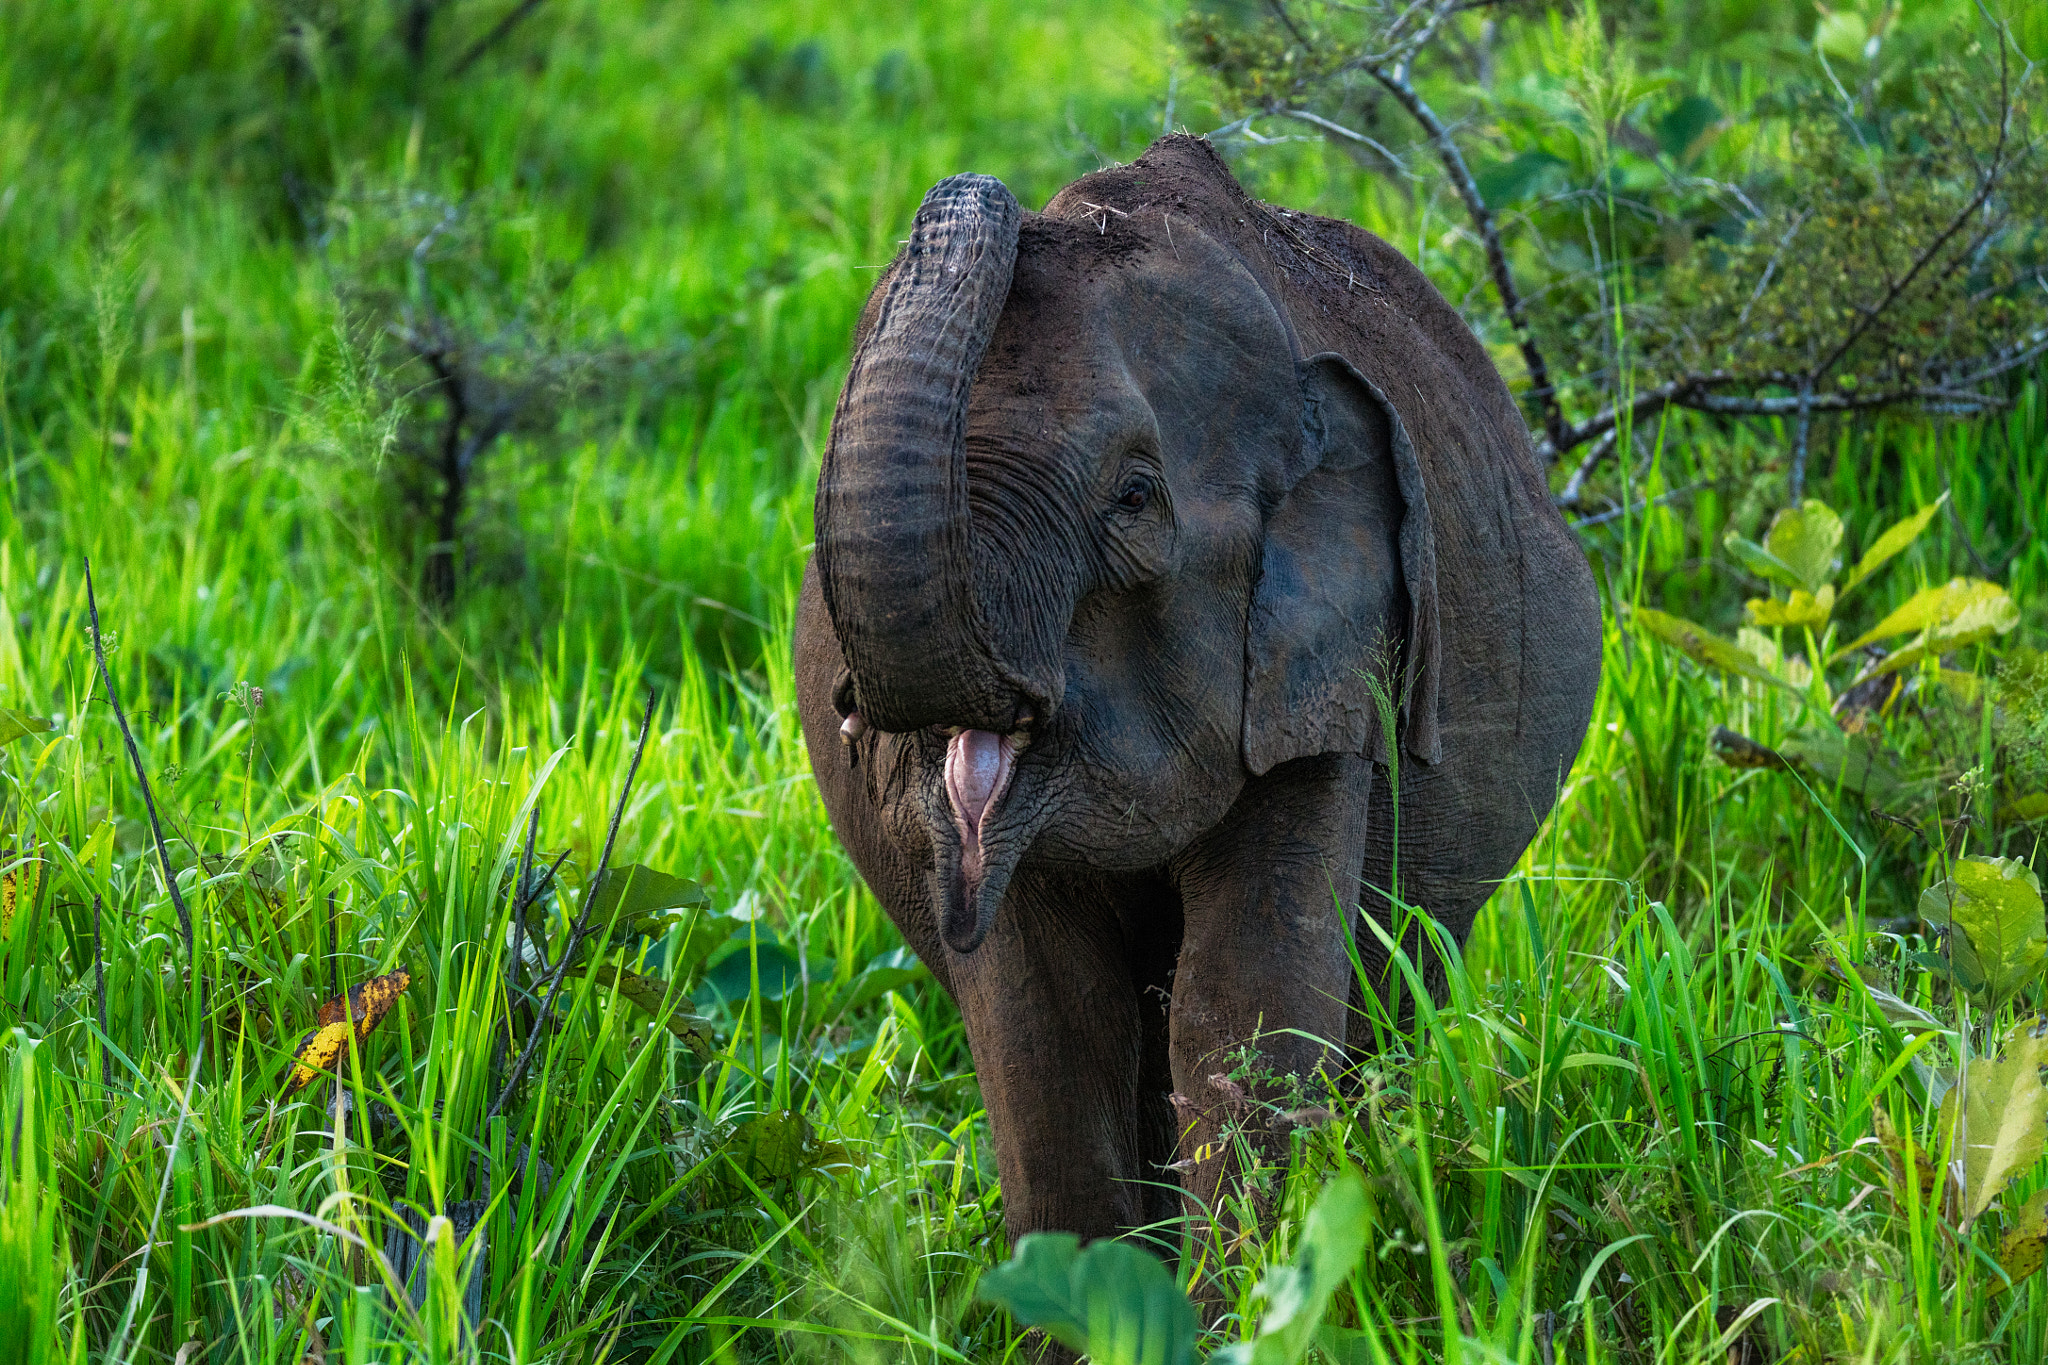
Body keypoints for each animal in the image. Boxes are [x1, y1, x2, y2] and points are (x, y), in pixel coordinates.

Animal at [793, 135, 1600, 1255]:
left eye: (1132, 497)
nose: (987, 193)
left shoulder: (1328, 671)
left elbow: (1242, 1001)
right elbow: (1044, 1022)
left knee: (1392, 992)